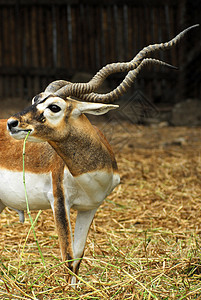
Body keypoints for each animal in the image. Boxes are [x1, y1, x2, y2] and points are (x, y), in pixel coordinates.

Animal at [0, 24, 198, 284]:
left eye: (54, 106)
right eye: (35, 99)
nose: (12, 123)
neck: (90, 175)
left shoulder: (90, 207)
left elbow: (77, 256)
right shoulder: (59, 201)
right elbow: (67, 255)